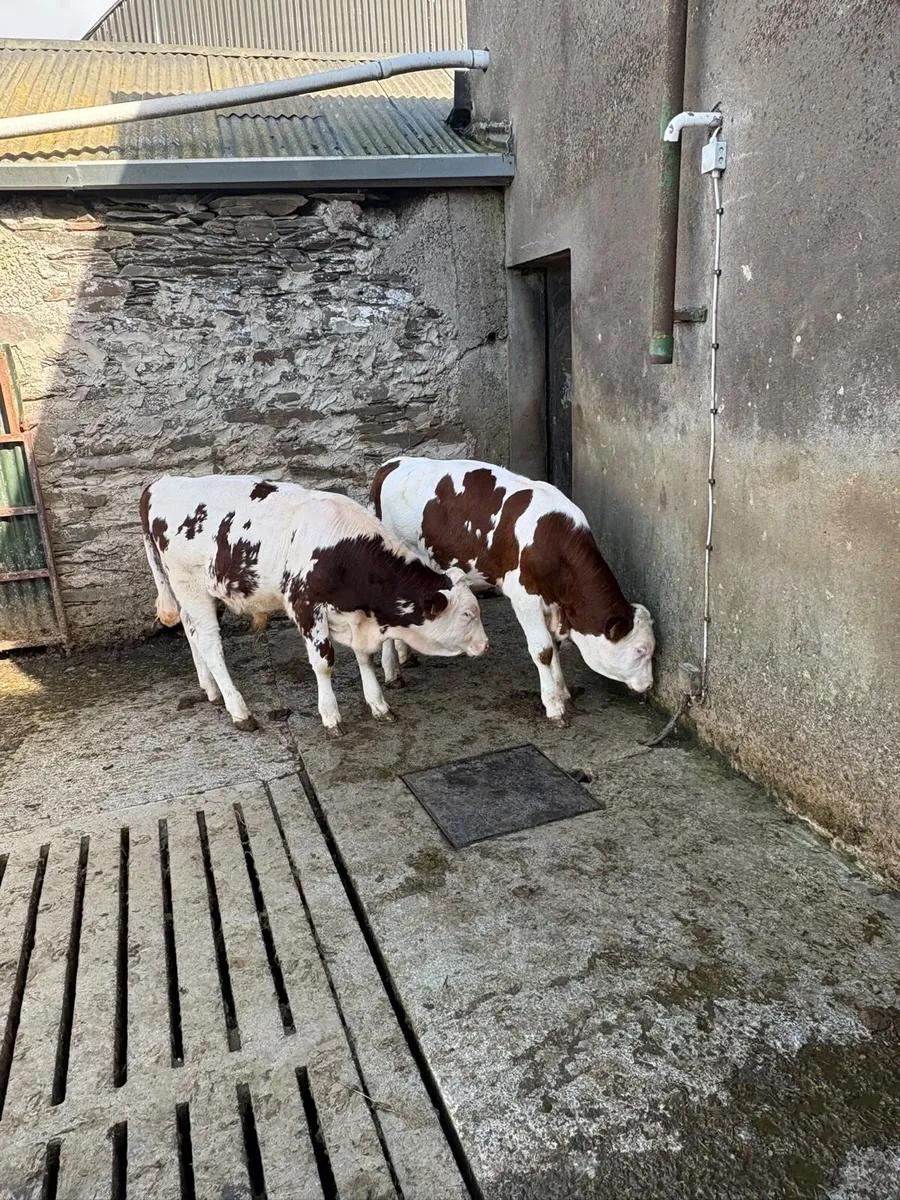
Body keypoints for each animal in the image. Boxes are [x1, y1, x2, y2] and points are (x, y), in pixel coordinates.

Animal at [140, 475, 488, 737]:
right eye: (468, 614)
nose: (485, 645)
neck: (345, 551)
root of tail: (162, 483)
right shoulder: (304, 605)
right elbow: (324, 663)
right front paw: (331, 716)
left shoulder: (355, 616)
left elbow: (365, 657)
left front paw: (378, 704)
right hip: (191, 585)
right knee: (210, 643)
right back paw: (239, 710)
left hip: (197, 592)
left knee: (191, 631)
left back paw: (210, 689)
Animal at [372, 457, 654, 726]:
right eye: (640, 650)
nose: (649, 685)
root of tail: (392, 464)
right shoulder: (524, 596)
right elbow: (543, 650)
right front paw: (554, 707)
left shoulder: (554, 603)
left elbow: (555, 645)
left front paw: (562, 691)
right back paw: (392, 673)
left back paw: (405, 655)